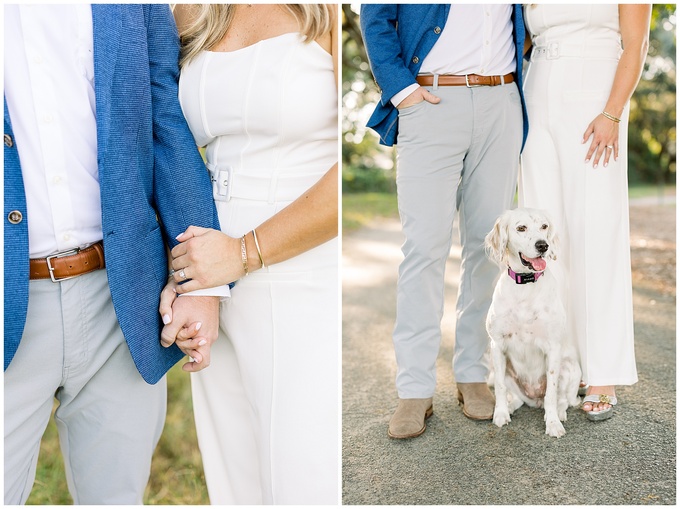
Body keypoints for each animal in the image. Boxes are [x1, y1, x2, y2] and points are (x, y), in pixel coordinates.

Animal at [484, 207, 580, 436]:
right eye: (521, 228)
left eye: (544, 226)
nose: (543, 245)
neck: (525, 286)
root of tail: (534, 398)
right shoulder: (497, 345)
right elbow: (499, 387)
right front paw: (500, 413)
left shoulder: (553, 348)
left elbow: (552, 393)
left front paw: (553, 423)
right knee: (518, 399)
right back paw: (510, 406)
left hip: (570, 368)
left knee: (562, 400)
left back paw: (558, 413)